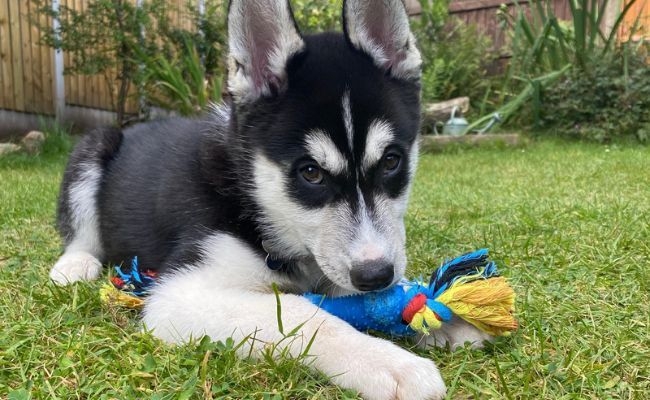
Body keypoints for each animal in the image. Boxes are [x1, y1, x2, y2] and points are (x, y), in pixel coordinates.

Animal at [49, 1, 486, 398]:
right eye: (310, 172)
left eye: (392, 161)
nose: (376, 275)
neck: (254, 198)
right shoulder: (176, 294)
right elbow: (298, 311)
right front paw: (387, 363)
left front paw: (448, 314)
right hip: (93, 147)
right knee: (80, 233)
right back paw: (74, 265)